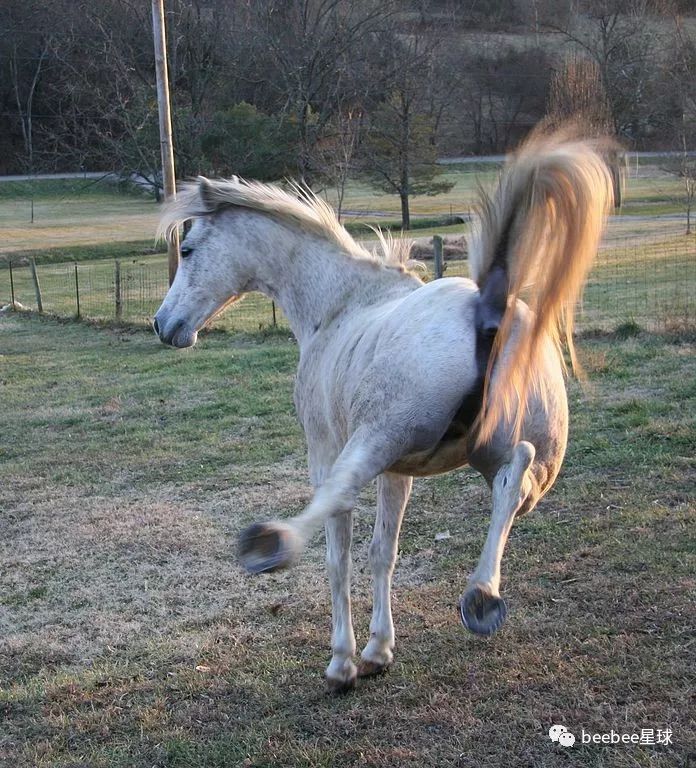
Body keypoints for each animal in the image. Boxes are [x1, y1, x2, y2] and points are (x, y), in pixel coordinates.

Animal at [155, 129, 612, 692]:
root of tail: (490, 310)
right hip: (516, 460)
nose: (163, 324)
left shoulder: (329, 451)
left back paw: (271, 545)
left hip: (373, 441)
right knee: (515, 479)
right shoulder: (401, 471)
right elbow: (383, 553)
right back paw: (481, 597)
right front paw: (378, 650)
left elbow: (340, 552)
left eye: (189, 248)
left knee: (339, 504)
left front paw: (344, 660)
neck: (340, 304)